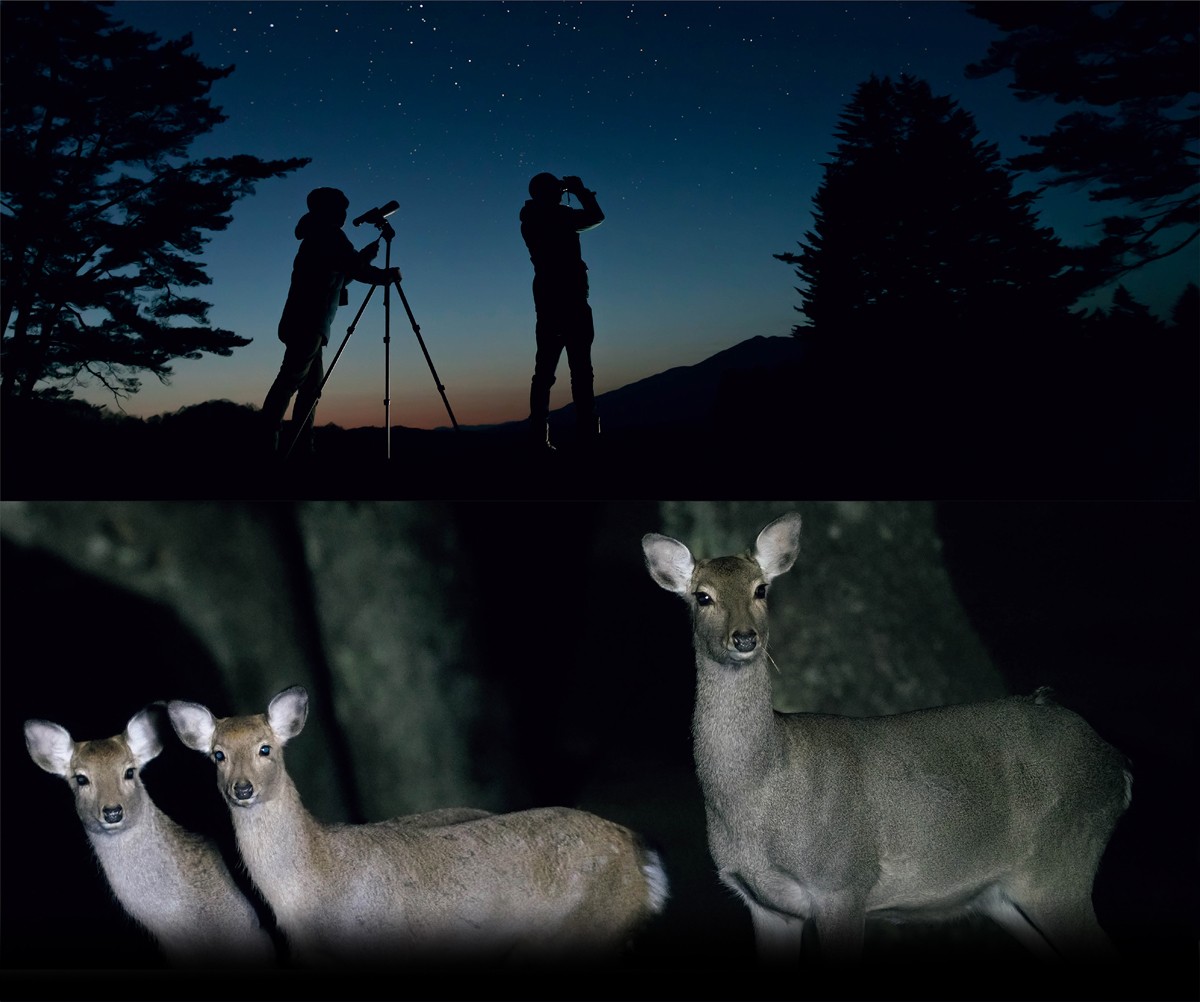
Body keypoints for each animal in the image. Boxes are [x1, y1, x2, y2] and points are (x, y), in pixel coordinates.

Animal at [643, 513, 1128, 969]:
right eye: (703, 596)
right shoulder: (766, 904)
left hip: (1060, 866)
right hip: (1004, 896)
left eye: (761, 589)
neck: (760, 798)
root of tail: (1119, 768)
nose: (745, 637)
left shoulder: (844, 881)